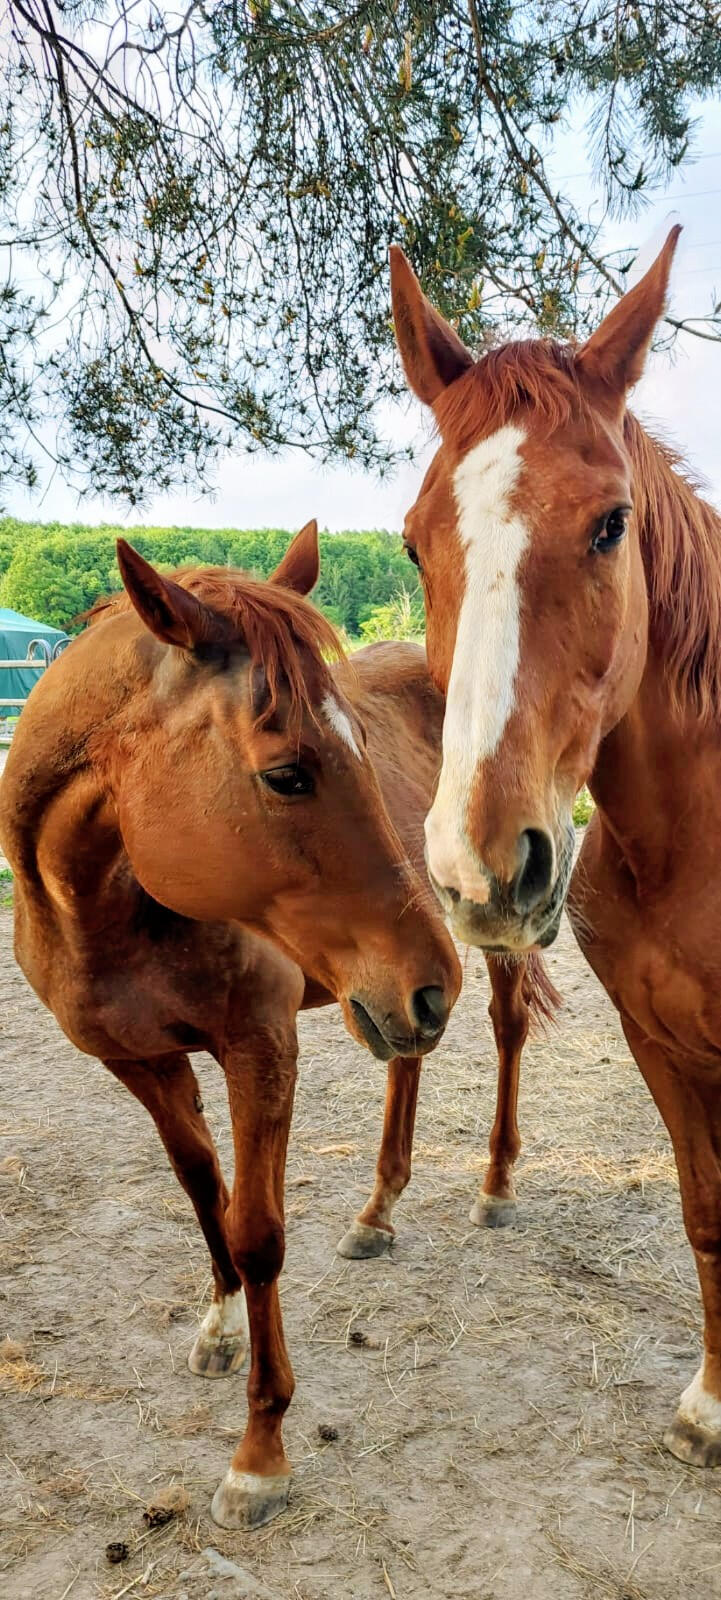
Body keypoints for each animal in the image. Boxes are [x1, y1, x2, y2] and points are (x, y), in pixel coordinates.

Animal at [0, 526, 463, 1530]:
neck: (106, 909)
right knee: (403, 1065)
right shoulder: (142, 1063)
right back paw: (377, 1210)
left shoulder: (262, 1048)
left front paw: (260, 1453)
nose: (430, 985)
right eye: (287, 774)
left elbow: (257, 1231)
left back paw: (492, 1191)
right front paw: (215, 1329)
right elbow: (201, 1187)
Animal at [389, 225, 721, 1469]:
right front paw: (710, 1404)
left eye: (610, 523)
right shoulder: (661, 1047)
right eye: (413, 543)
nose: (484, 864)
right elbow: (706, 1215)